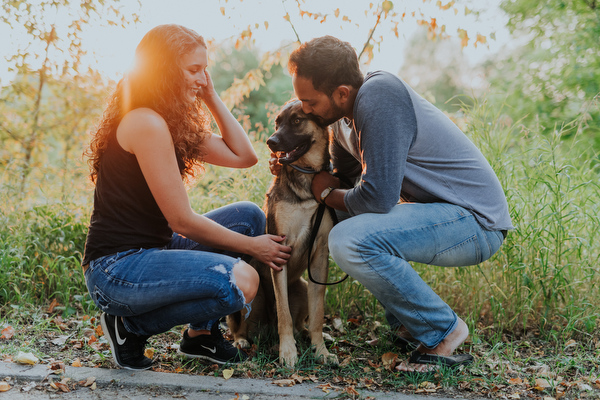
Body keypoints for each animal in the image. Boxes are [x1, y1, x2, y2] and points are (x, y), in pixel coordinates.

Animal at [225, 100, 338, 368]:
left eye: (297, 120)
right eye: (277, 123)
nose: (271, 142)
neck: (307, 178)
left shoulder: (319, 256)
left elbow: (317, 314)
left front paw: (321, 350)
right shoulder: (280, 248)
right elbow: (283, 312)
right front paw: (288, 352)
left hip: (303, 287)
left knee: (300, 323)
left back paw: (308, 335)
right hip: (254, 291)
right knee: (241, 325)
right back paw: (242, 340)